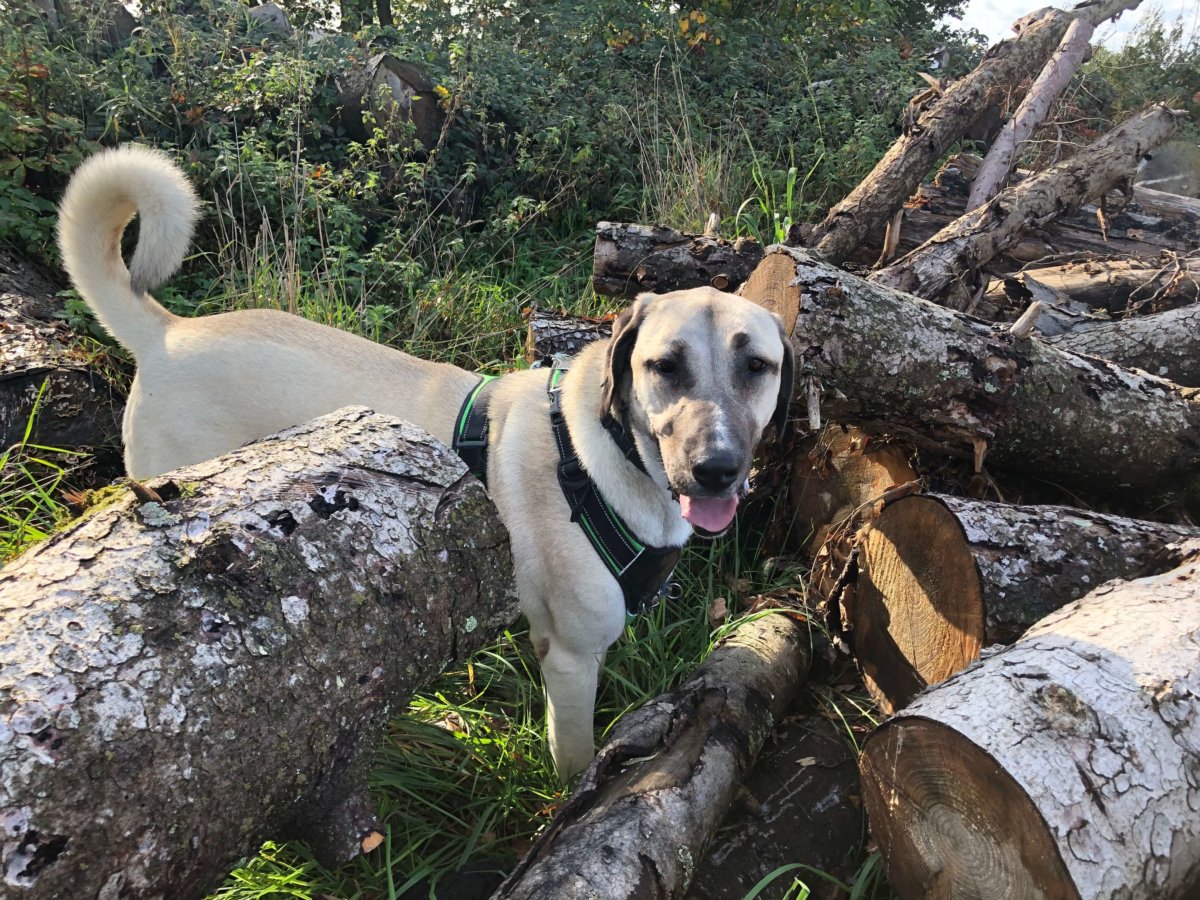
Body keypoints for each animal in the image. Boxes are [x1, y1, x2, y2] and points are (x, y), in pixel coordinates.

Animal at [56, 144, 792, 777]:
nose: (717, 468)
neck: (600, 456)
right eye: (665, 367)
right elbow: (576, 759)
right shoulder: (570, 660)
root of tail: (167, 331)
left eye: (757, 366)